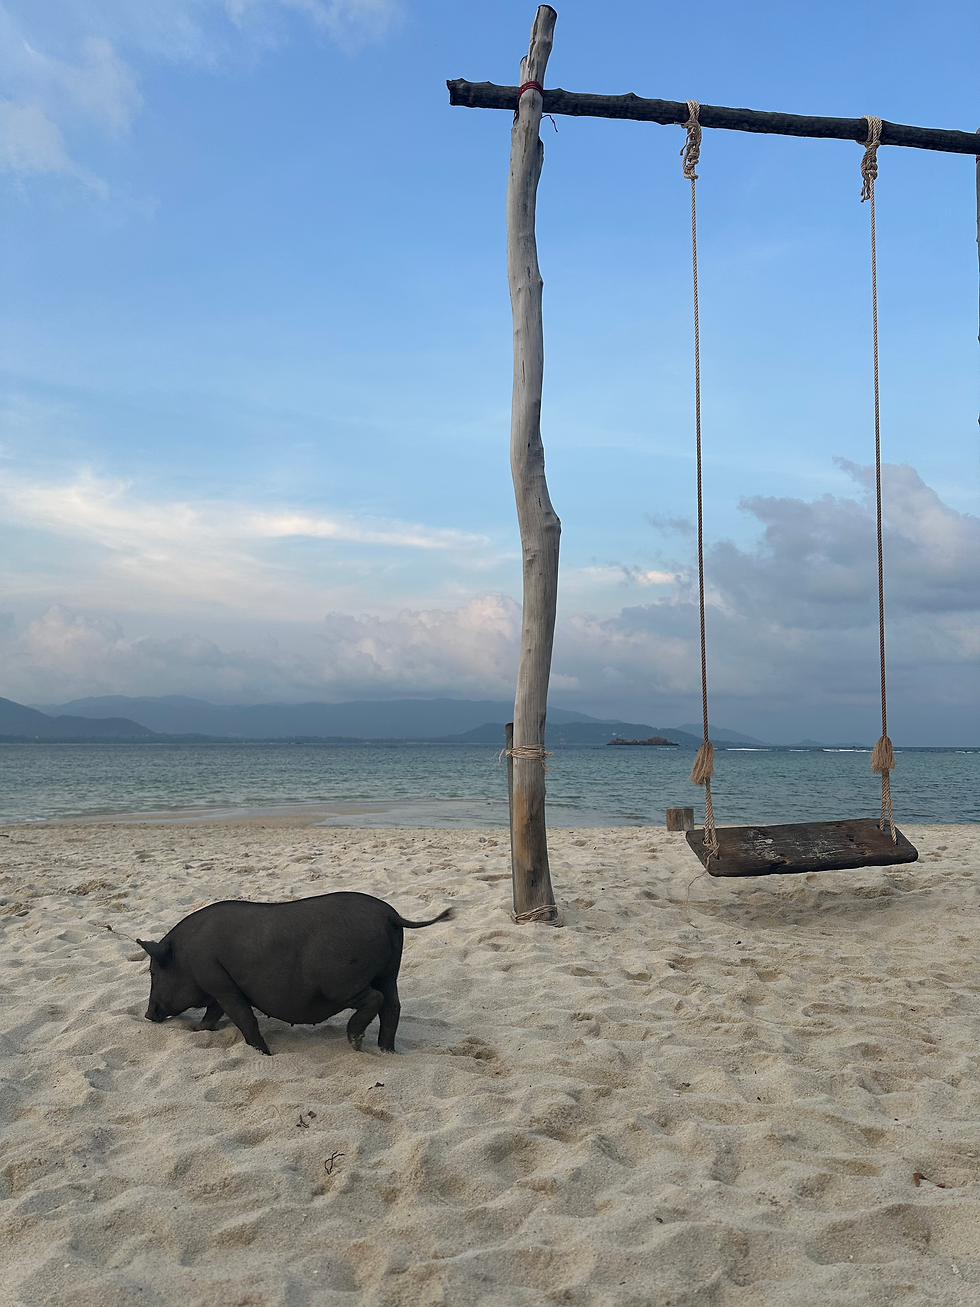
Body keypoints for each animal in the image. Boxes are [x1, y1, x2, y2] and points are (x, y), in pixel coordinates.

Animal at [137, 891, 452, 1056]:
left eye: (153, 972)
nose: (147, 1015)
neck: (185, 957)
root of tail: (391, 915)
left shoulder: (220, 983)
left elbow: (243, 1018)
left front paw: (264, 1054)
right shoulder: (219, 987)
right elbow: (212, 1014)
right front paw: (197, 1031)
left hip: (340, 983)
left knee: (375, 1000)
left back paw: (355, 1043)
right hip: (389, 973)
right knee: (393, 1006)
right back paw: (386, 1050)